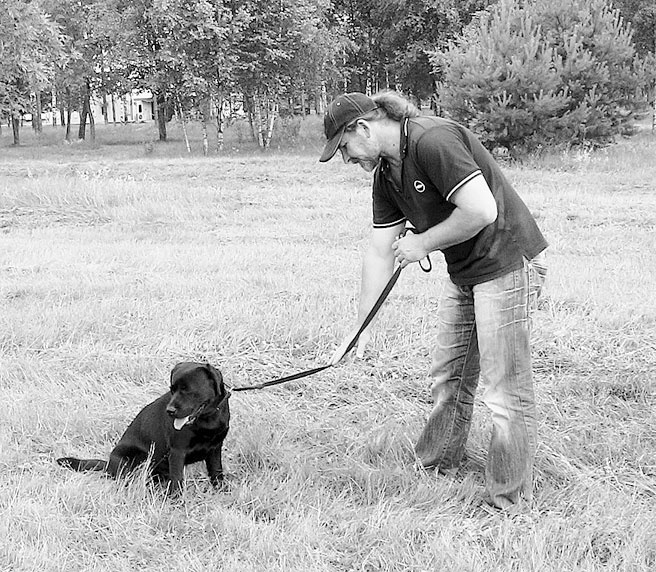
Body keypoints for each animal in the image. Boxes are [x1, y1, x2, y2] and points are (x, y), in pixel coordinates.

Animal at [57, 364, 231, 494]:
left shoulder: (215, 448)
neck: (207, 419)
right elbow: (177, 480)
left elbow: (217, 472)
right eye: (172, 389)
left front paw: (221, 492)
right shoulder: (177, 451)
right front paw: (177, 501)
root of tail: (108, 464)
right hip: (133, 460)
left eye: (187, 390)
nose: (170, 411)